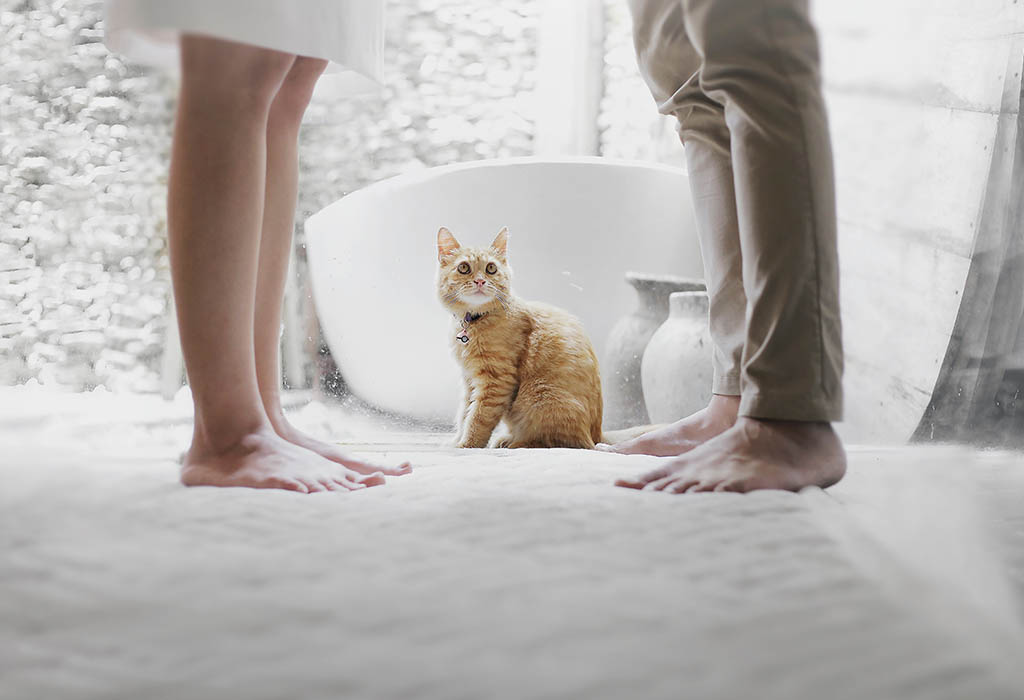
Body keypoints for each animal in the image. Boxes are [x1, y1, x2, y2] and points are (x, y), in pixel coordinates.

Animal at [434, 227, 606, 450]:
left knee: (553, 441)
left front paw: (467, 444)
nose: (480, 281)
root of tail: (597, 436)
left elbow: (478, 417)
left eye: (491, 268)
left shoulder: (496, 381)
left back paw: (513, 442)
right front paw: (457, 440)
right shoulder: (469, 380)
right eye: (464, 268)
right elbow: (464, 413)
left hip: (540, 397)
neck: (474, 321)